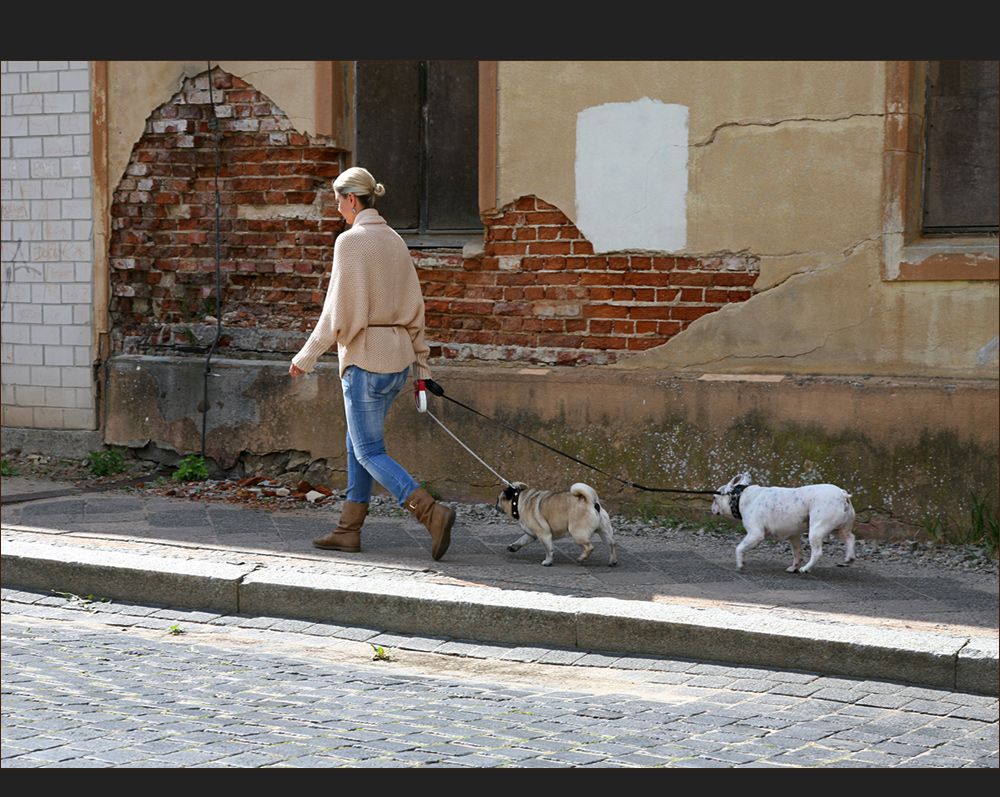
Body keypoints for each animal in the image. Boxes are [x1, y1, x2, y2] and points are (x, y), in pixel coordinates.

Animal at [708, 472, 856, 572]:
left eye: (714, 498)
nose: (712, 508)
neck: (739, 496)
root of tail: (842, 494)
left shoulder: (755, 535)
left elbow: (739, 548)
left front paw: (740, 564)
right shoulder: (794, 535)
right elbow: (797, 552)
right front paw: (794, 567)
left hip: (817, 529)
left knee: (817, 552)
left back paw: (806, 568)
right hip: (839, 529)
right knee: (850, 537)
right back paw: (849, 558)